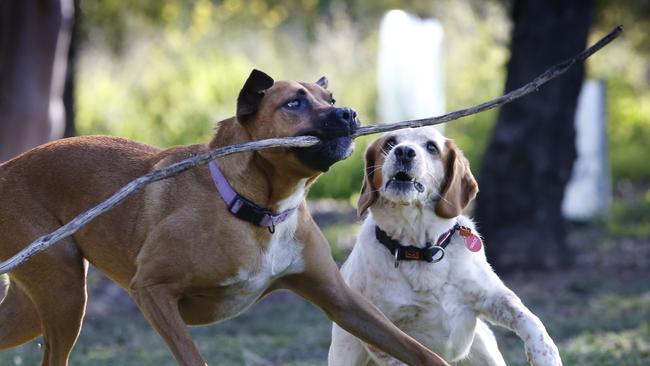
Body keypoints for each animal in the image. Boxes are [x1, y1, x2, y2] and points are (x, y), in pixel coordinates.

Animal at [0, 70, 446, 364]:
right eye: (294, 103)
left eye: (331, 100)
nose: (350, 114)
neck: (258, 209)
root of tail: (7, 168)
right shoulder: (152, 289)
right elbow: (192, 357)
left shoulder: (340, 299)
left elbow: (419, 351)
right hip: (64, 296)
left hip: (38, 307)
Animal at [326, 126, 560, 366]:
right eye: (390, 143)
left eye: (431, 147)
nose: (403, 151)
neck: (421, 250)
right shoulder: (379, 328)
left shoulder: (493, 296)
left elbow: (529, 318)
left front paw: (545, 355)